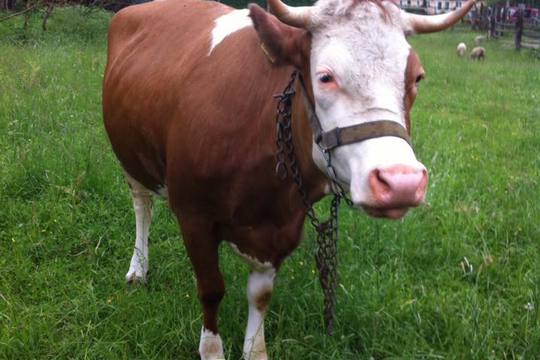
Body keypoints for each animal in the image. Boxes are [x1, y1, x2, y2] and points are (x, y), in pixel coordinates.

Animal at [103, 0, 474, 358]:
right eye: (325, 77)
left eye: (417, 78)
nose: (402, 183)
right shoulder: (194, 215)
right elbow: (211, 289)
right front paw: (211, 350)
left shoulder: (282, 227)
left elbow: (260, 296)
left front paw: (255, 351)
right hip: (130, 159)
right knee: (143, 208)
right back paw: (138, 267)